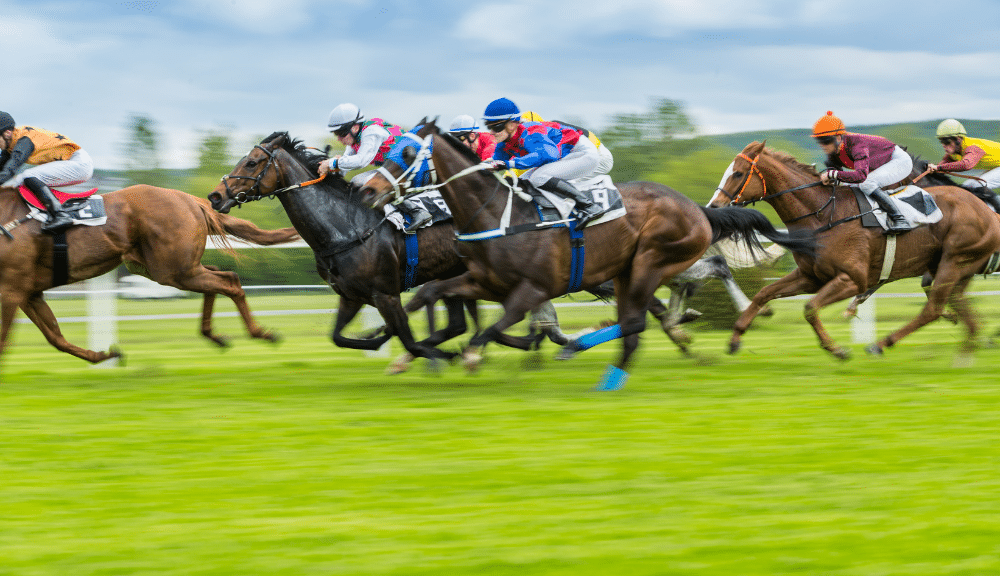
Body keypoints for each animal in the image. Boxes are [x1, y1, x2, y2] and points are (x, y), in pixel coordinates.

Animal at [0, 183, 298, 368]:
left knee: (229, 281)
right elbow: (55, 337)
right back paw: (214, 335)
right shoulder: (27, 293)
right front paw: (106, 354)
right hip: (169, 268)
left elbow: (5, 342)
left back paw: (261, 333)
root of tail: (190, 199)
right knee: (218, 277)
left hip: (173, 269)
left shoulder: (11, 290)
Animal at [356, 122, 816, 392]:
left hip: (650, 261)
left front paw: (465, 356)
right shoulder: (483, 281)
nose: (367, 190)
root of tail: (696, 208)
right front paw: (399, 346)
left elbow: (495, 328)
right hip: (631, 271)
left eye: (405, 154)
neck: (498, 213)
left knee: (659, 304)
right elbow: (434, 295)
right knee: (644, 314)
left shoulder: (532, 288)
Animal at [708, 143, 1000, 360]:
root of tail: (986, 211)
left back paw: (880, 344)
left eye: (737, 173)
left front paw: (837, 349)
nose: (714, 206)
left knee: (933, 309)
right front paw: (735, 338)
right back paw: (967, 349)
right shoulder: (811, 277)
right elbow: (764, 293)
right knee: (958, 309)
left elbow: (810, 308)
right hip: (954, 268)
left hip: (954, 260)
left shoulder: (852, 279)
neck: (824, 214)